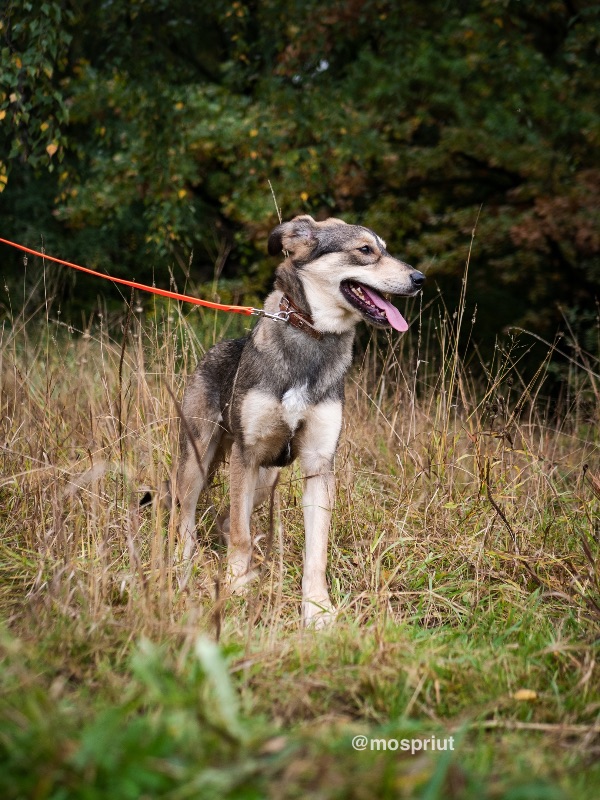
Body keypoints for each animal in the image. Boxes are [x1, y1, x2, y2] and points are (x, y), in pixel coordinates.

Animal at [176, 216, 424, 628]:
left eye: (385, 249)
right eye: (365, 250)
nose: (420, 279)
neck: (313, 337)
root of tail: (215, 349)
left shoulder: (318, 465)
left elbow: (315, 552)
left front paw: (317, 608)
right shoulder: (247, 453)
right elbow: (241, 534)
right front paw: (236, 588)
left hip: (263, 480)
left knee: (228, 519)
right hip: (198, 461)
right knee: (186, 515)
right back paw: (185, 561)